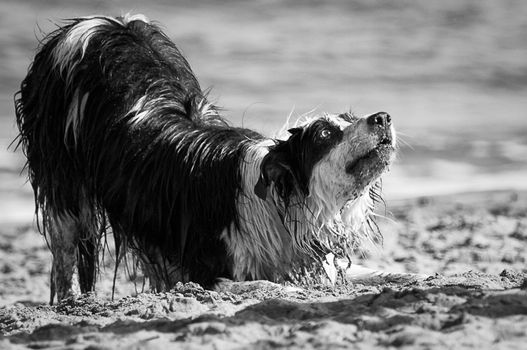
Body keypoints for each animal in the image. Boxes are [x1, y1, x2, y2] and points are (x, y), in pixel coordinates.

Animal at [14, 14, 396, 304]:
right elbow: (265, 285)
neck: (284, 203)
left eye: (351, 117)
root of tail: (97, 24)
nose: (383, 117)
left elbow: (381, 272)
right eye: (325, 135)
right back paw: (70, 302)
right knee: (65, 246)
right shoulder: (206, 268)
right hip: (62, 176)